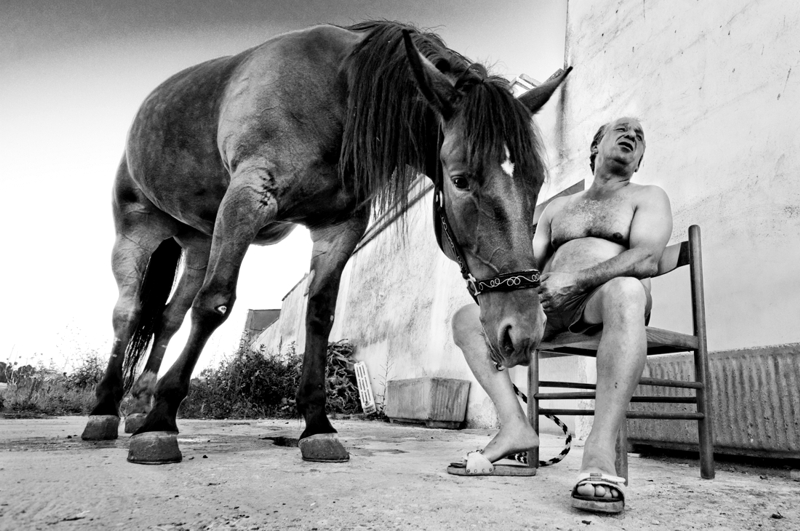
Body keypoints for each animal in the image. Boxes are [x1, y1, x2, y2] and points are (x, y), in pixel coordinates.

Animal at [80, 20, 570, 464]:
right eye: (461, 180)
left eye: (537, 180)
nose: (523, 329)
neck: (338, 97)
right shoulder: (247, 198)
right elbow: (215, 303)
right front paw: (162, 424)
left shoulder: (340, 227)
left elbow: (319, 314)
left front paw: (317, 426)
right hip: (137, 231)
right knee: (129, 313)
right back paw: (106, 411)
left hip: (199, 241)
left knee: (166, 319)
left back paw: (138, 405)